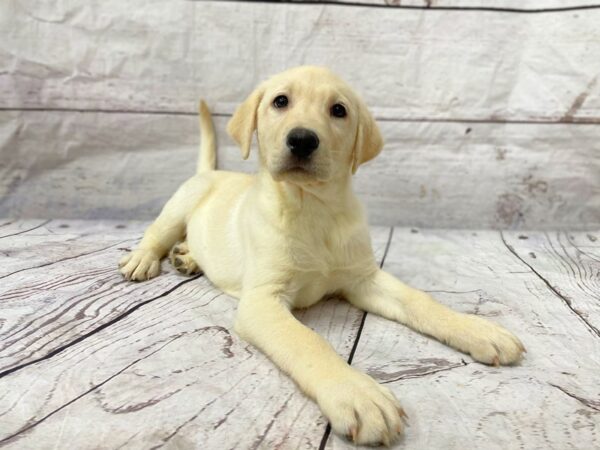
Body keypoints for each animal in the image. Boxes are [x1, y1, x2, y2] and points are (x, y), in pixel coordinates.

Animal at [119, 65, 524, 444]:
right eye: (280, 101)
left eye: (339, 110)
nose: (302, 139)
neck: (313, 209)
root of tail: (213, 171)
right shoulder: (262, 301)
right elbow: (308, 342)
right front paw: (357, 394)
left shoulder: (363, 277)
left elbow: (419, 300)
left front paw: (477, 329)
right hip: (180, 203)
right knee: (158, 232)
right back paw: (144, 258)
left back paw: (186, 257)